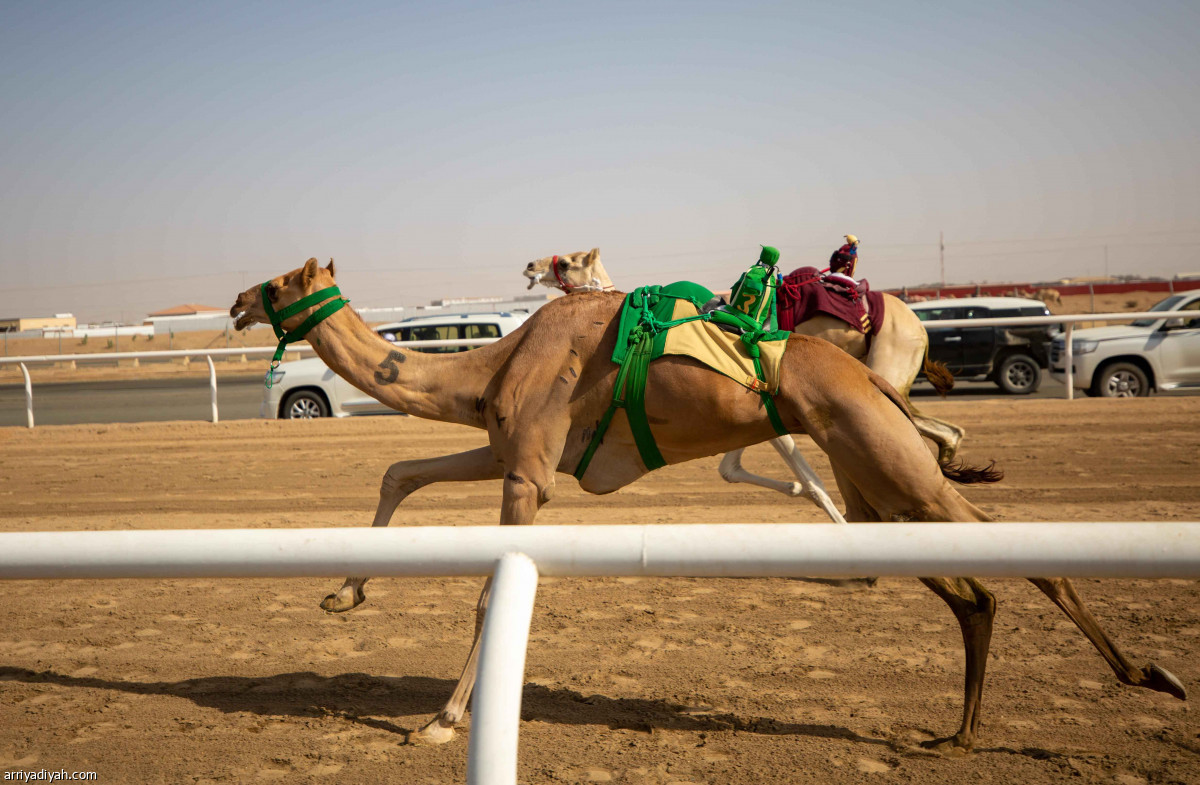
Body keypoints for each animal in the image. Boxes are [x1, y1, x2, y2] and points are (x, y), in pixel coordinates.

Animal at [523, 250, 964, 523]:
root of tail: (918, 323)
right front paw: (794, 488)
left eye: (567, 260)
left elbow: (807, 481)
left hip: (886, 364)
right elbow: (732, 469)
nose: (530, 265)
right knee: (943, 429)